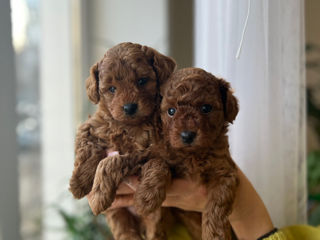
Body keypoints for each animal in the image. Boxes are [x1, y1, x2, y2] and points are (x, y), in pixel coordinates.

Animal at [68, 42, 176, 240]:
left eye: (142, 81)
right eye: (112, 89)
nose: (129, 107)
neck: (128, 126)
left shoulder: (152, 150)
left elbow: (112, 162)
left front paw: (99, 196)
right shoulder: (91, 125)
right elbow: (87, 147)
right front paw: (78, 183)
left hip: (154, 223)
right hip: (117, 214)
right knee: (125, 232)